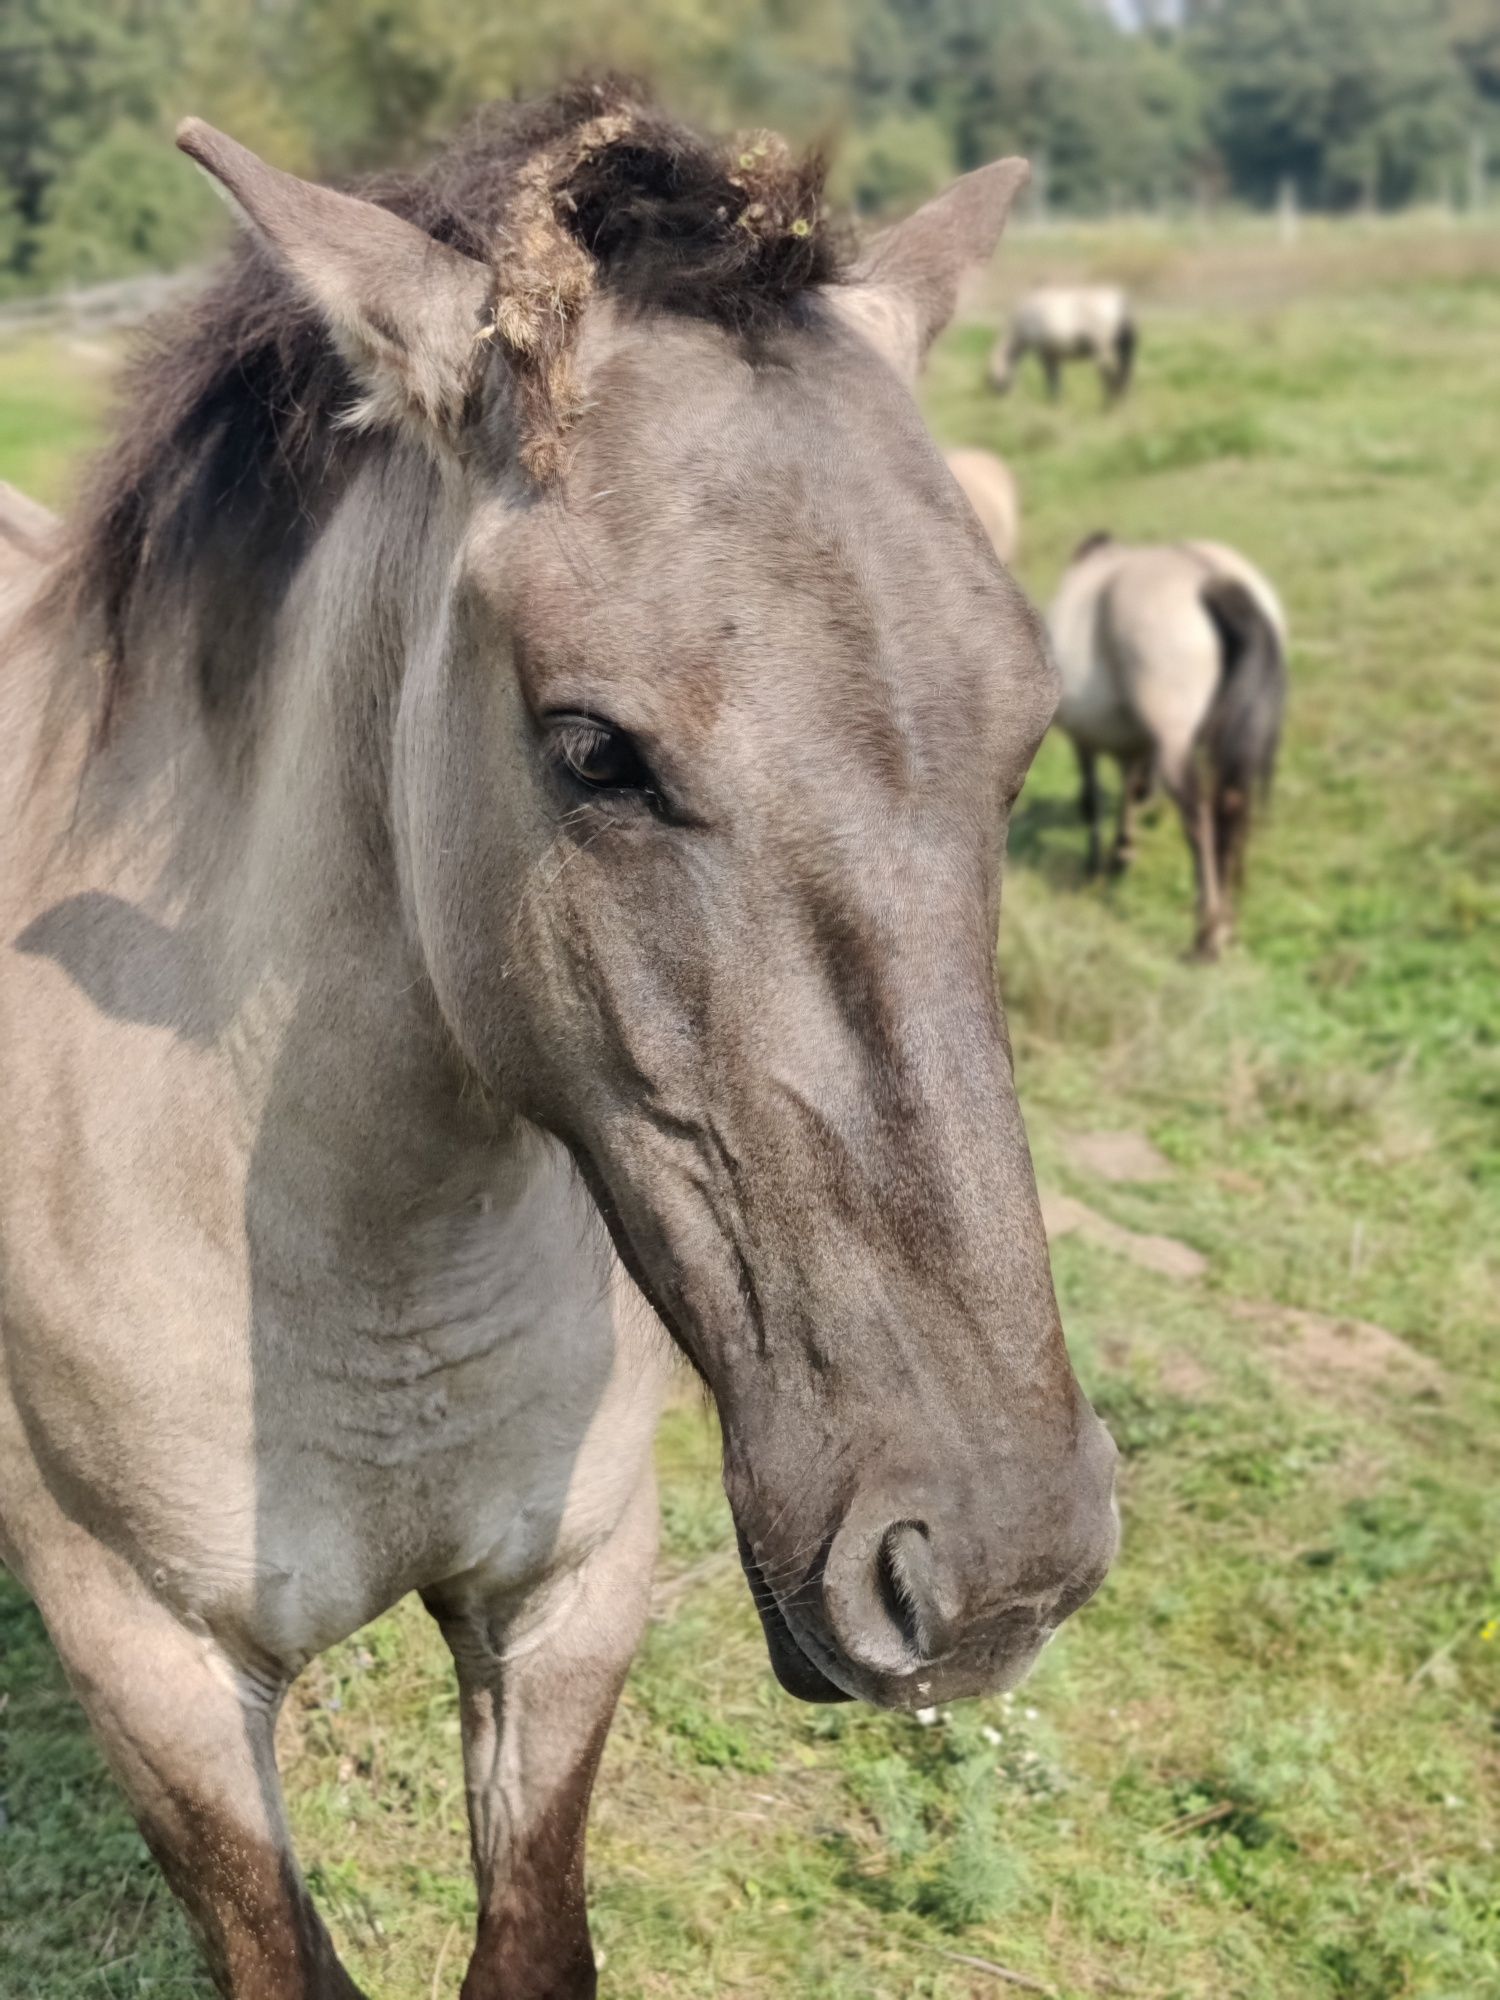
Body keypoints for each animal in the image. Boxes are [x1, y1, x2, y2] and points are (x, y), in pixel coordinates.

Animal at [0, 82, 1120, 2000]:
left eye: (1025, 733)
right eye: (593, 749)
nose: (996, 1571)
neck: (366, 1264)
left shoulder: (569, 1600)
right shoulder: (153, 1676)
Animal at [1000, 286, 1136, 402]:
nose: (1002, 397)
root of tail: (1120, 303)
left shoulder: (1045, 354)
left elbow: (1051, 378)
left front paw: (1053, 401)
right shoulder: (1053, 354)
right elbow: (1056, 379)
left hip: (1104, 350)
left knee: (1111, 376)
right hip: (1122, 350)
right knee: (1124, 376)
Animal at [1048, 540, 1296, 960]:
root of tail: (1210, 576)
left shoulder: (1088, 741)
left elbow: (1092, 799)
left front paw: (1096, 866)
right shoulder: (1134, 742)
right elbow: (1130, 789)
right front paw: (1121, 853)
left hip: (1175, 745)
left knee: (1199, 818)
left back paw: (1208, 933)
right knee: (1230, 807)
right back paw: (1226, 921)